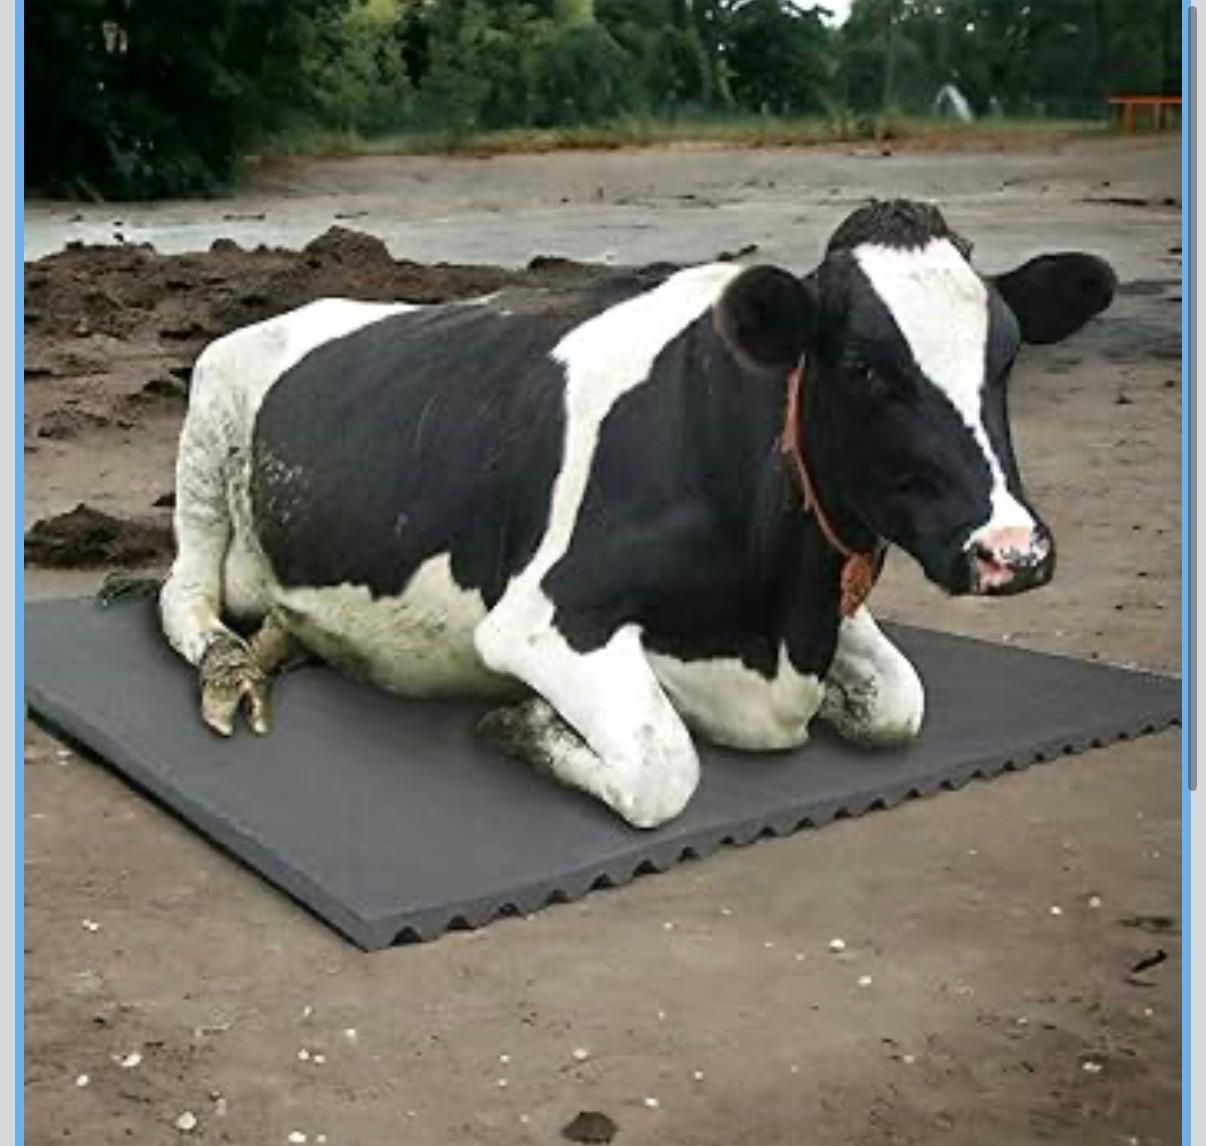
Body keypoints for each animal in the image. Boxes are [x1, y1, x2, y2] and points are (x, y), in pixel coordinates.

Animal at [159, 200, 1116, 828]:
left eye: (1006, 358)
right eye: (864, 368)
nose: (1012, 551)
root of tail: (304, 308)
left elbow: (899, 704)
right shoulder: (539, 619)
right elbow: (665, 767)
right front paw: (525, 722)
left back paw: (284, 641)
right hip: (207, 431)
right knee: (184, 593)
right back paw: (232, 665)